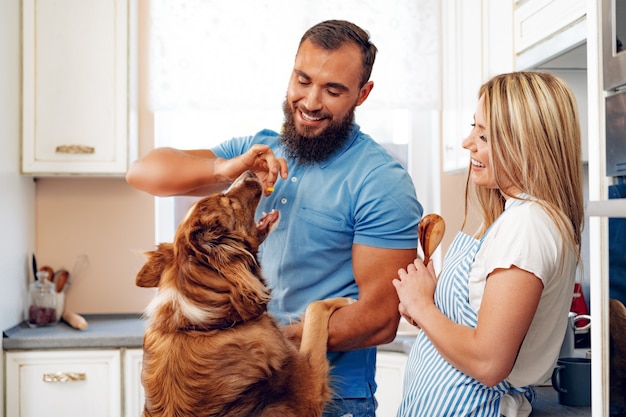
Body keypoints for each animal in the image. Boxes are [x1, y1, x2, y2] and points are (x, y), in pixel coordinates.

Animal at [136, 170, 348, 416]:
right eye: (227, 200)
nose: (249, 171)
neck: (206, 325)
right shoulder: (310, 388)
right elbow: (315, 311)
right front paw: (344, 299)